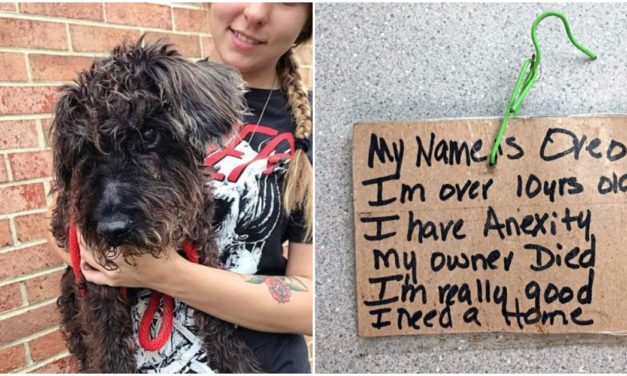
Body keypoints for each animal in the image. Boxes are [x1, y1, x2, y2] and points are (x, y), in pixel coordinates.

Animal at [49, 36, 262, 374]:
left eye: (148, 133)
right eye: (85, 151)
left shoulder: (202, 247)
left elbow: (215, 311)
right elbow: (107, 342)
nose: (112, 229)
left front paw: (235, 358)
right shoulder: (94, 281)